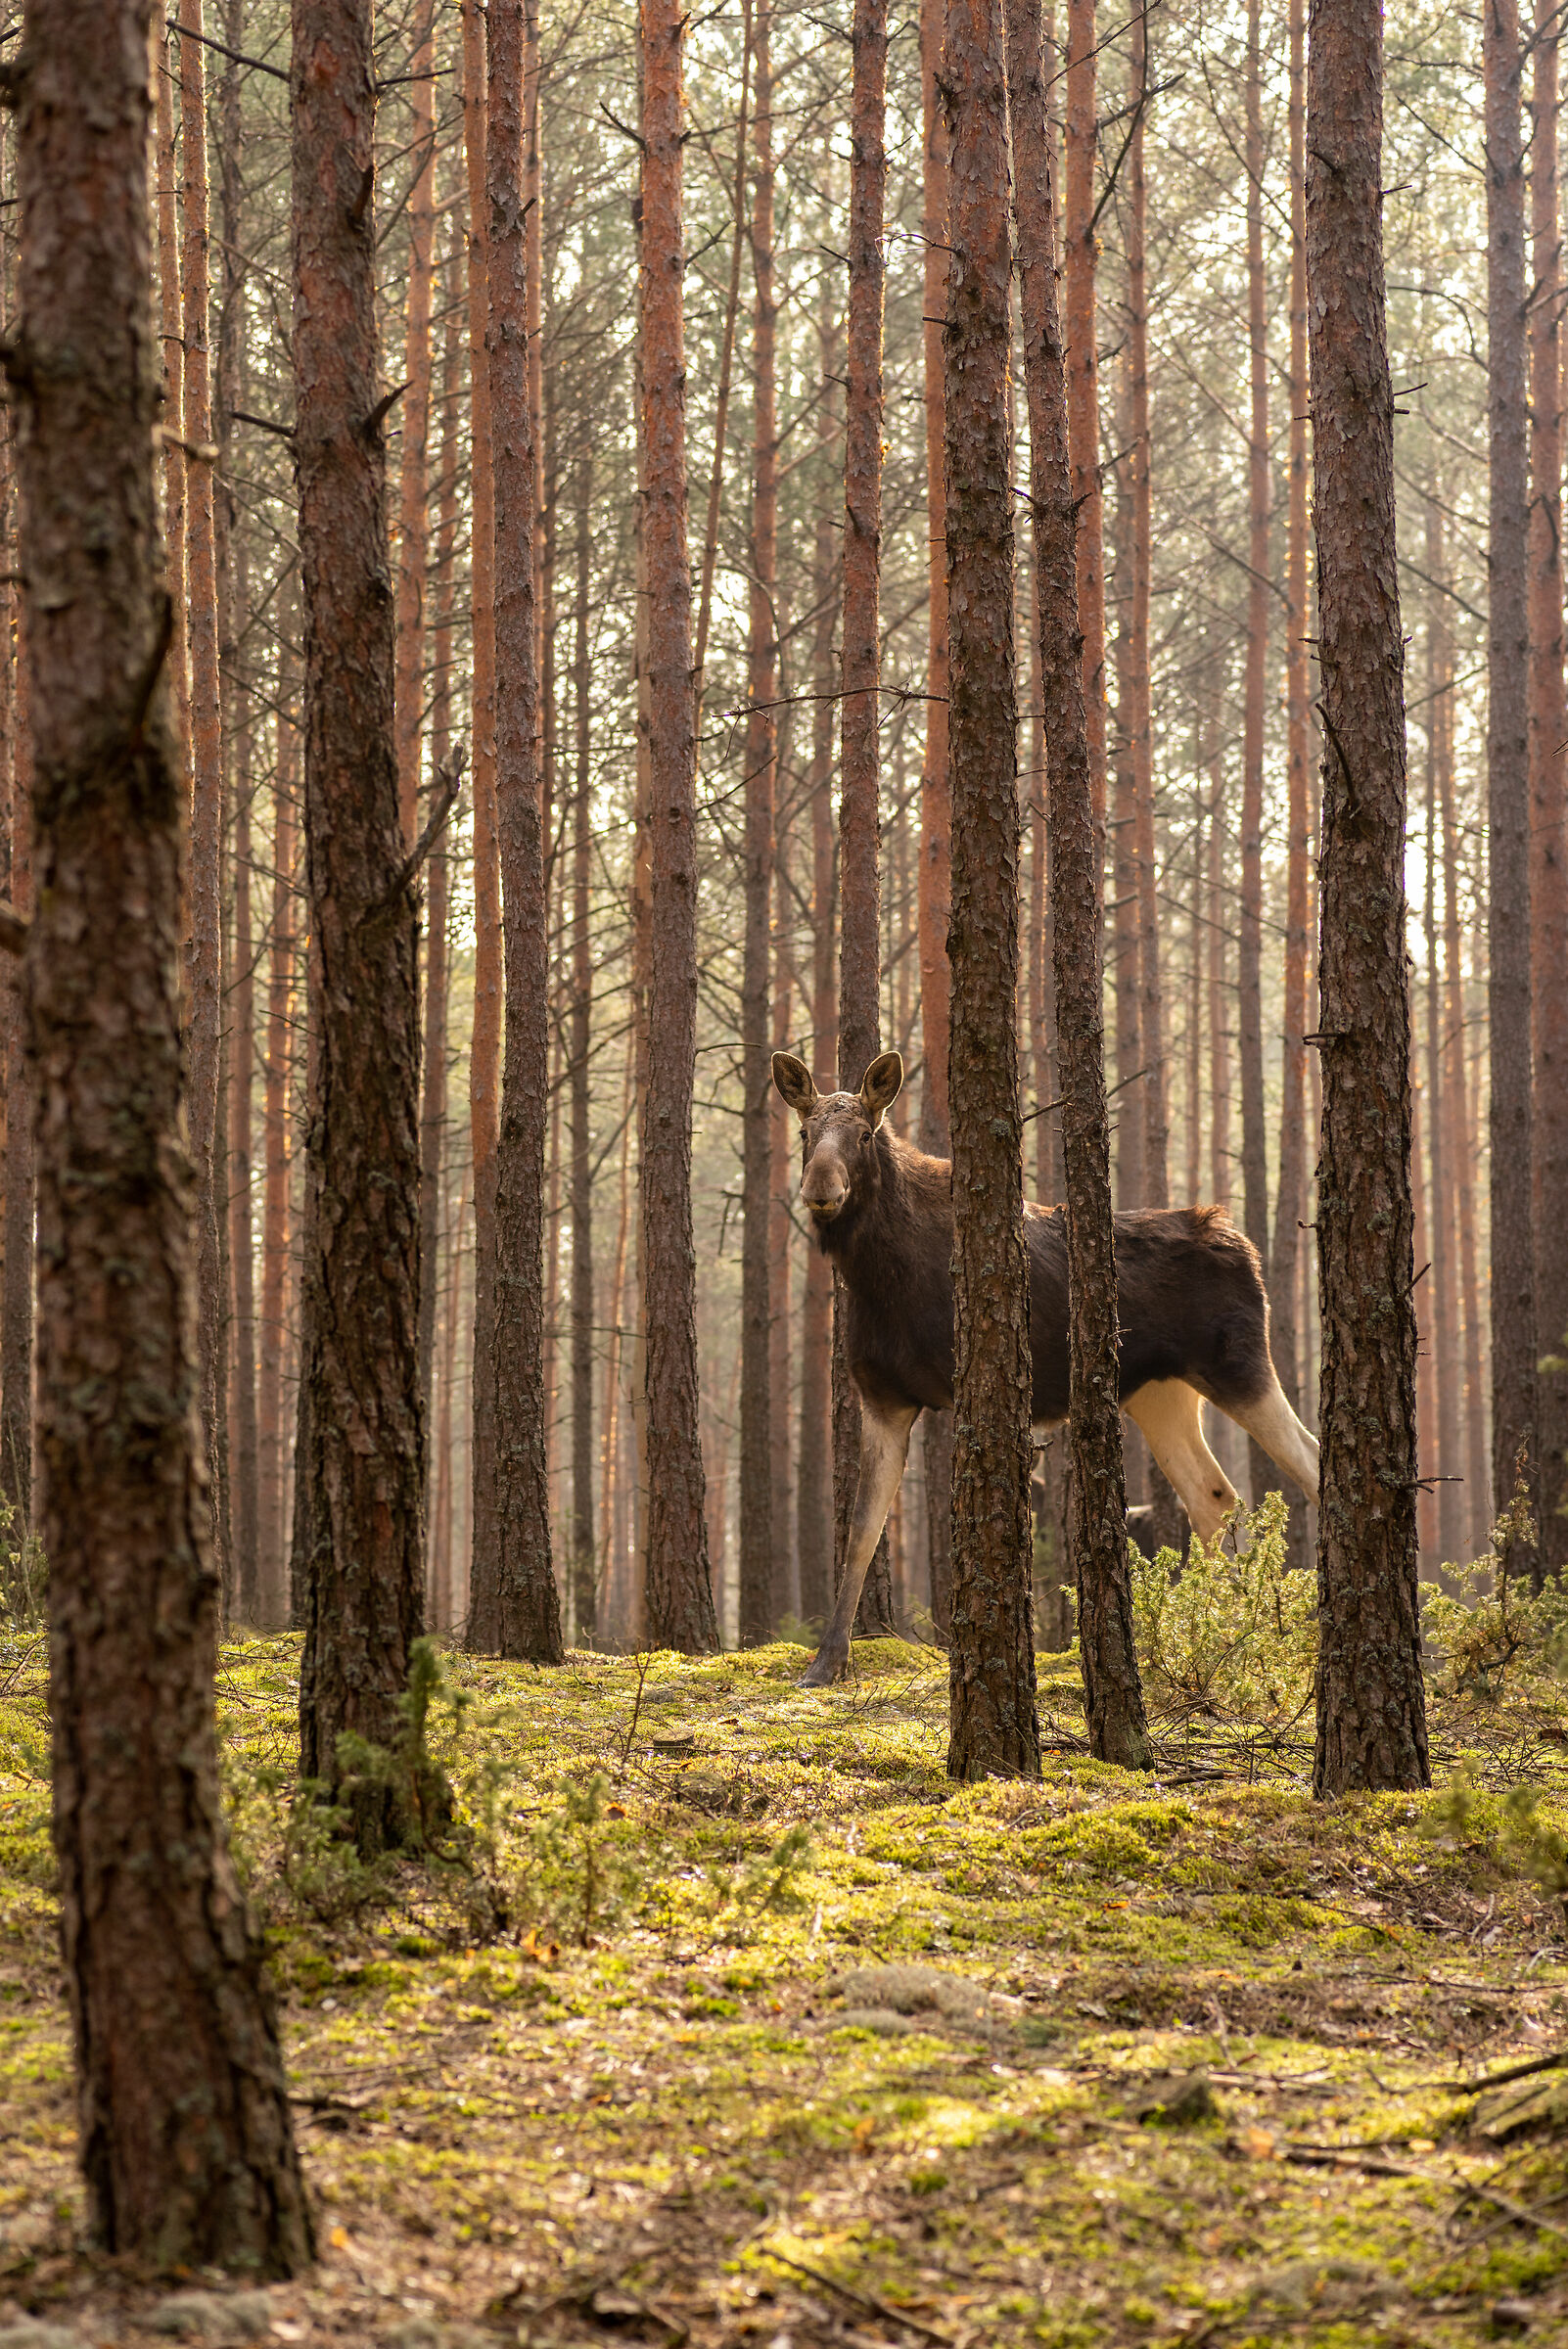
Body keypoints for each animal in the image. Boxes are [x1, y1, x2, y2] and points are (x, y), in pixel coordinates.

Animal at [772, 1048, 1319, 1687]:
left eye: (863, 1133)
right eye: (805, 1134)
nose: (820, 1188)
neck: (875, 1275)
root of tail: (1240, 1241)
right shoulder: (883, 1398)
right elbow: (861, 1531)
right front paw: (825, 1662)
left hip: (1240, 1364)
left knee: (1308, 1462)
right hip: (1158, 1393)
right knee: (1215, 1496)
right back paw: (1218, 1638)